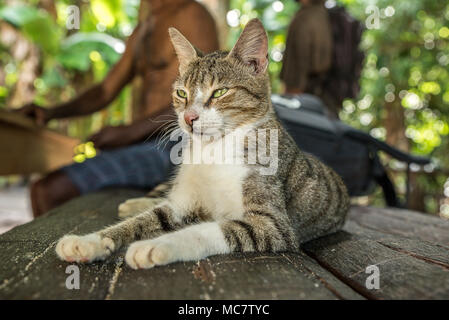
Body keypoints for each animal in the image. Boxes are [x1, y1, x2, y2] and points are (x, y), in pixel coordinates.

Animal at [54, 19, 346, 270]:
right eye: (181, 93)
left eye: (220, 92)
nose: (188, 117)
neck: (213, 150)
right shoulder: (182, 203)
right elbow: (147, 219)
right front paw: (88, 242)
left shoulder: (272, 224)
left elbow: (211, 229)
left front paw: (156, 246)